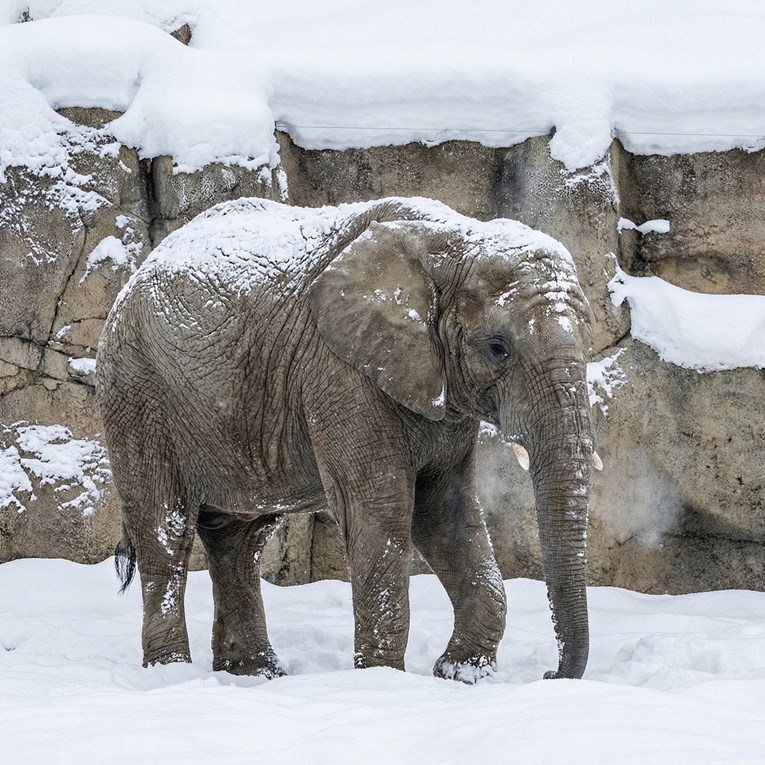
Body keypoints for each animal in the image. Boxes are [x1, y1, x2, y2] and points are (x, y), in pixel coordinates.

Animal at [96, 196, 597, 682]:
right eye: (498, 348)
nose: (552, 674)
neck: (454, 238)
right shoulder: (340, 371)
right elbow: (379, 509)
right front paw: (383, 681)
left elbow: (447, 511)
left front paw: (461, 675)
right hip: (136, 388)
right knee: (165, 529)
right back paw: (171, 676)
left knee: (241, 538)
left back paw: (255, 675)